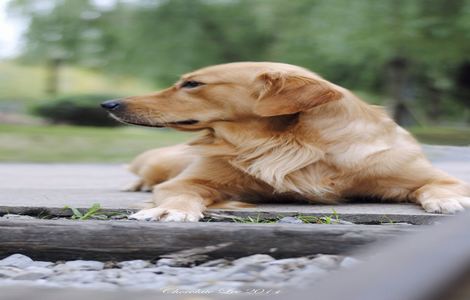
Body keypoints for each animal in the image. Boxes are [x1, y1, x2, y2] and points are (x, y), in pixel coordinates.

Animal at [102, 61, 470, 220]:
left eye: (192, 84)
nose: (108, 104)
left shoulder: (424, 174)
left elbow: (439, 185)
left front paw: (450, 199)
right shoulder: (188, 181)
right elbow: (182, 193)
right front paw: (168, 209)